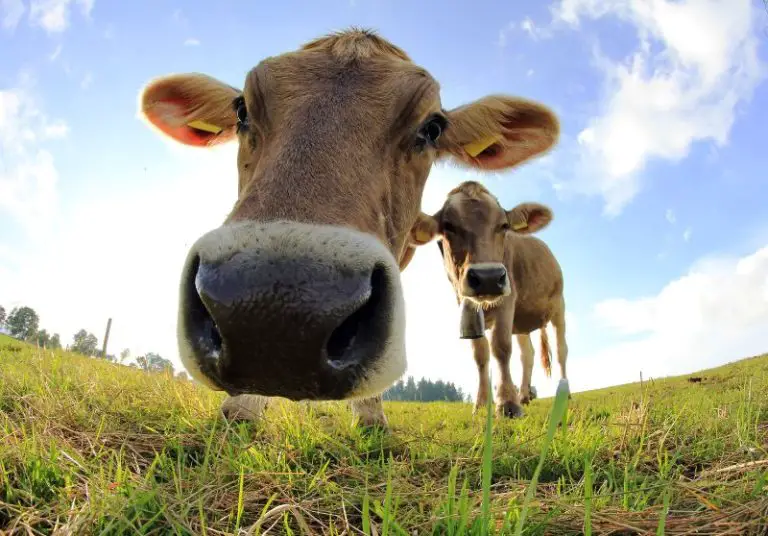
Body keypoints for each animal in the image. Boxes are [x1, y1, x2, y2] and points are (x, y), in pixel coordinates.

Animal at [409, 181, 568, 418]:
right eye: (449, 226)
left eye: (503, 225)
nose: (488, 278)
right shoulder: (468, 307)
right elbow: (480, 354)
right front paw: (482, 403)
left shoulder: (507, 301)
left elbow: (501, 347)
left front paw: (507, 403)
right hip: (522, 322)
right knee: (527, 354)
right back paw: (524, 395)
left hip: (559, 305)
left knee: (561, 350)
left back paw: (563, 393)